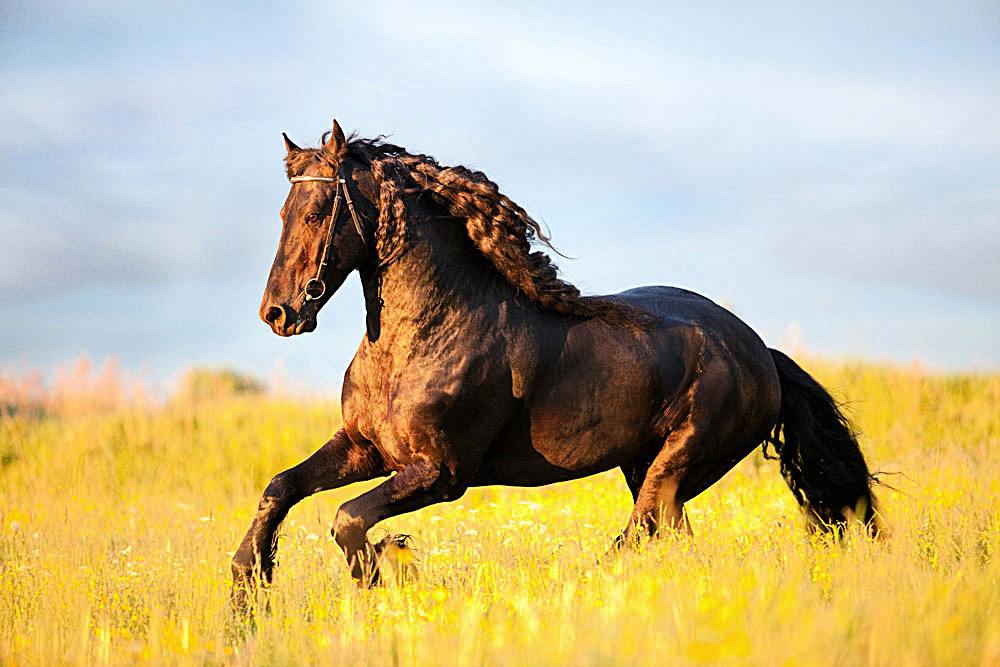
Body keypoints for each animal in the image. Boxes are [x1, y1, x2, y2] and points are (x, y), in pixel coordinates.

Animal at [230, 120, 880, 612]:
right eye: (283, 212)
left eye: (317, 212)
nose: (278, 313)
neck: (422, 338)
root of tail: (760, 352)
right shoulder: (366, 448)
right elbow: (280, 488)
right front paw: (247, 588)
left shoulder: (440, 474)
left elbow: (346, 519)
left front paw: (387, 572)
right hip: (645, 467)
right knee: (669, 538)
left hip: (678, 464)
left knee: (640, 533)